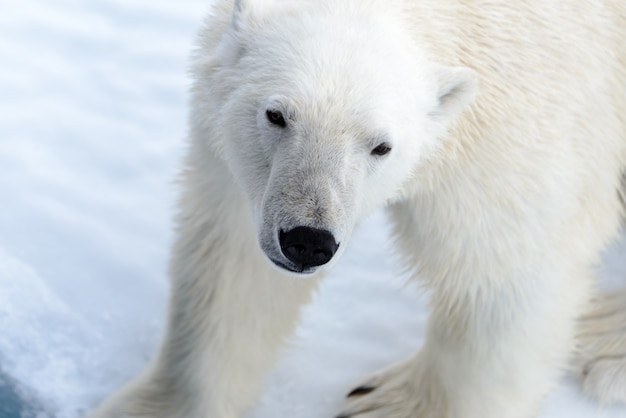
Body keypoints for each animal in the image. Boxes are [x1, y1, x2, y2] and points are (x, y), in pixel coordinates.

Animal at [88, 0, 624, 418]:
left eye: (381, 146)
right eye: (276, 115)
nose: (308, 241)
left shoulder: (516, 136)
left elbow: (501, 277)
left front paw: (390, 403)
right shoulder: (241, 171)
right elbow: (231, 270)